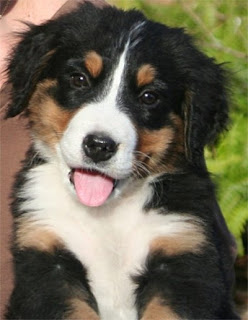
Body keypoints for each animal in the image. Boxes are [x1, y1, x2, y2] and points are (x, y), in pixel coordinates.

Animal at [3, 2, 239, 320]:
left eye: (149, 97)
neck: (107, 215)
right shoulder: (46, 261)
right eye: (79, 79)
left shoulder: (183, 256)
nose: (99, 146)